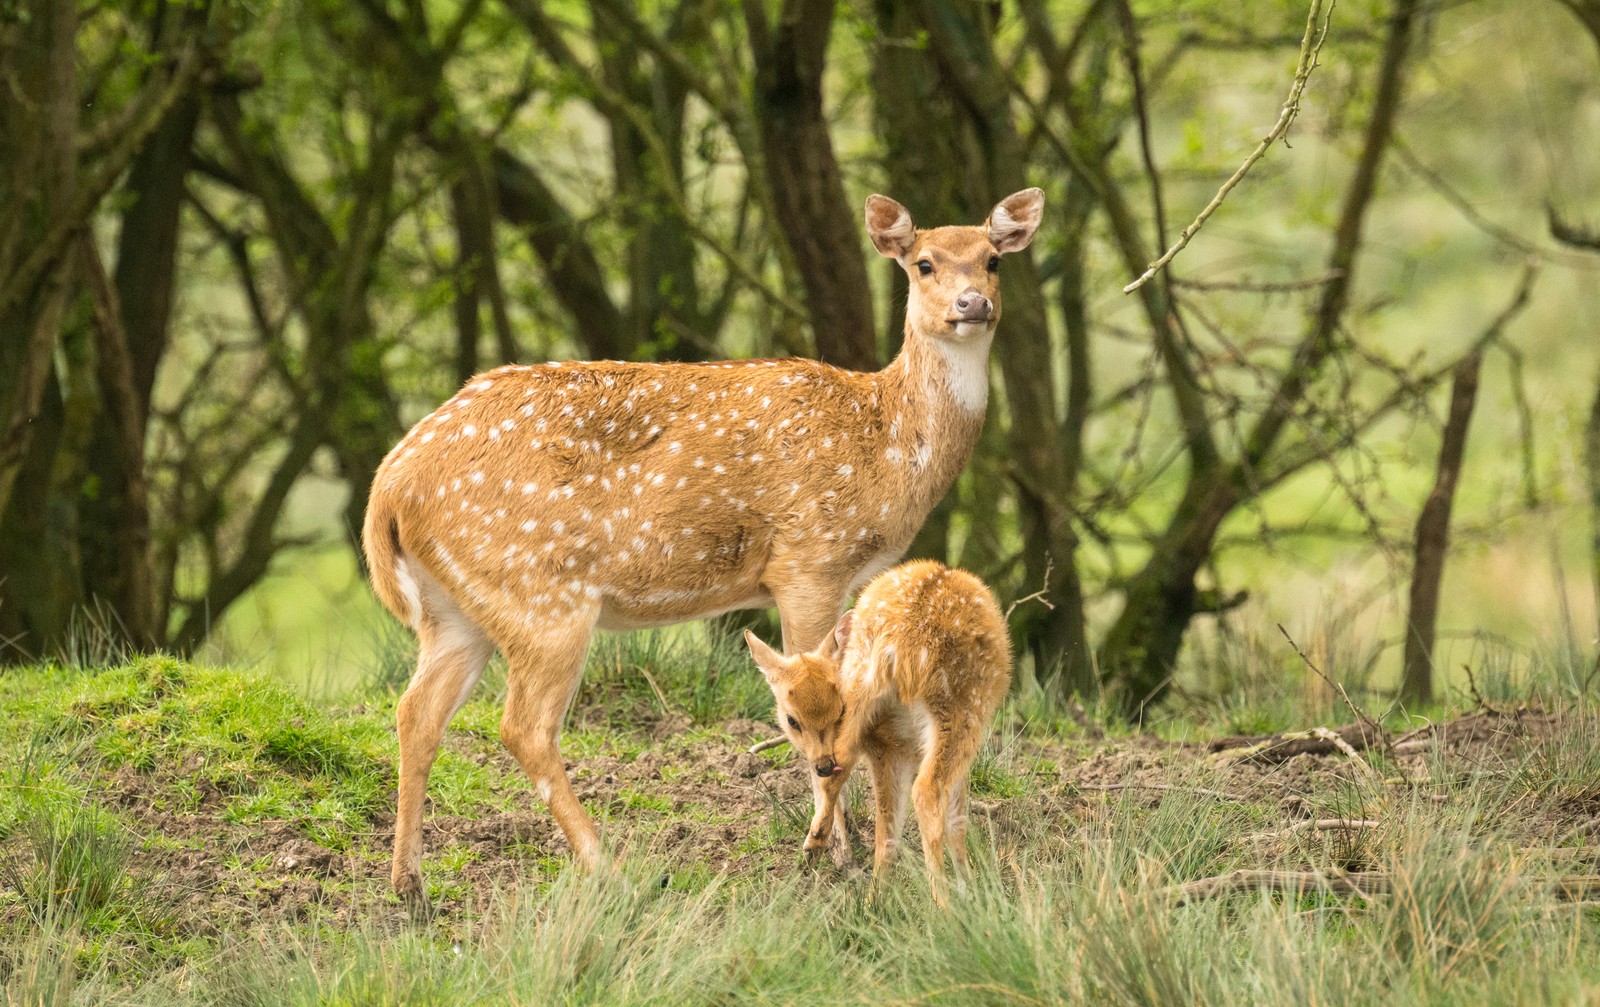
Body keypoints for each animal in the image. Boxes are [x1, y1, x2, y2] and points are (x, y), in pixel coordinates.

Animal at [363, 184, 1043, 915]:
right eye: (922, 263)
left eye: (994, 259)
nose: (971, 304)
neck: (887, 447)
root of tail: (390, 485)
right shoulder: (809, 559)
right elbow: (816, 695)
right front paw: (833, 848)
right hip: (543, 594)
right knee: (524, 727)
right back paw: (610, 870)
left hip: (458, 607)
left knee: (416, 712)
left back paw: (409, 884)